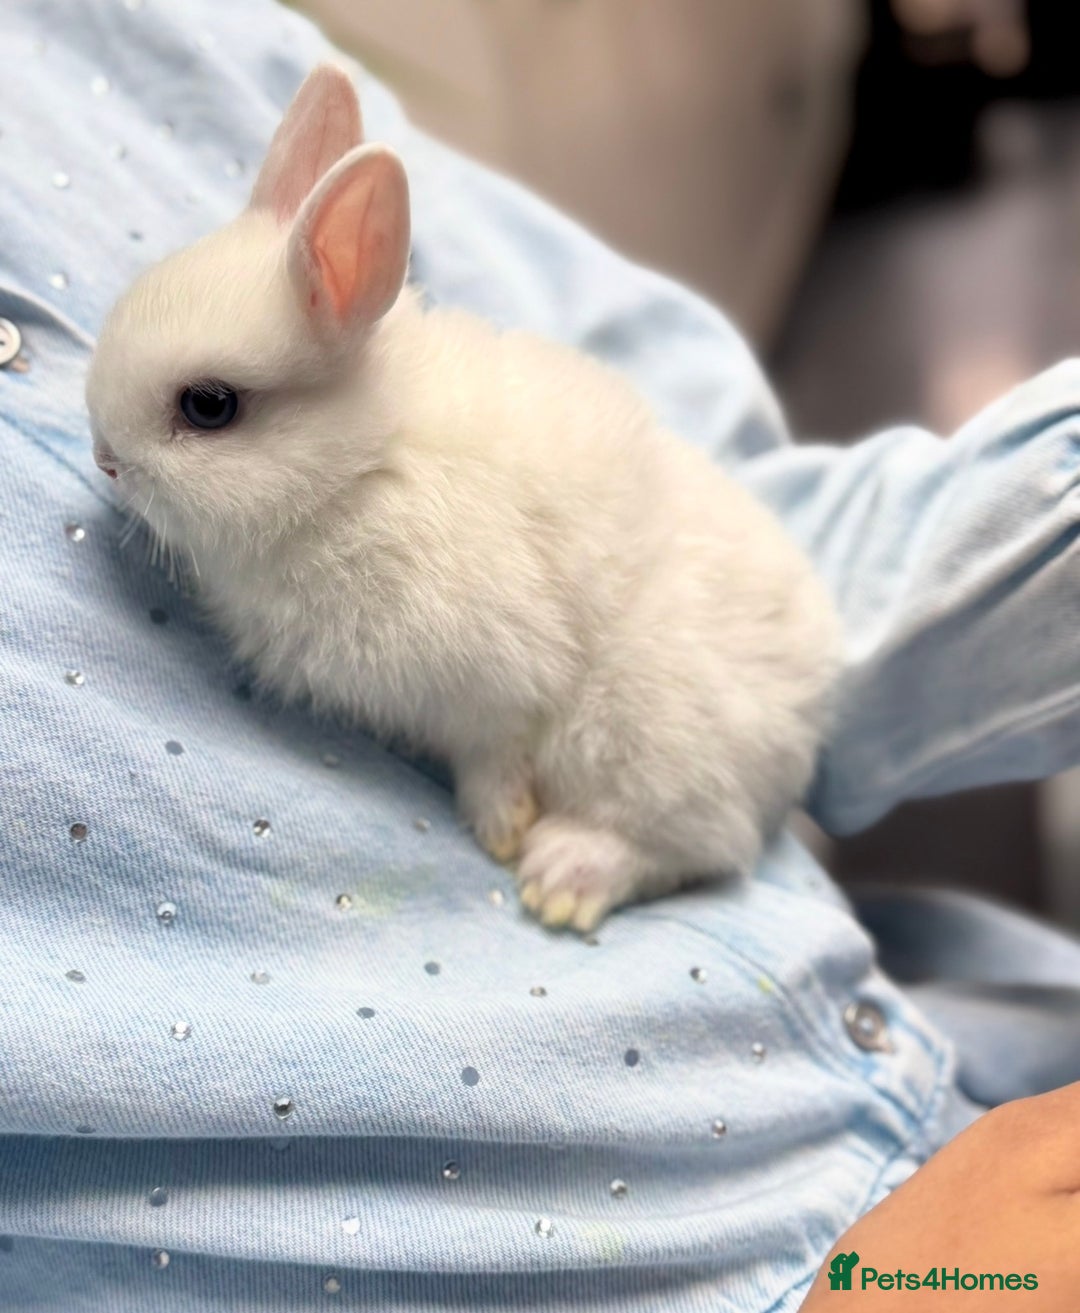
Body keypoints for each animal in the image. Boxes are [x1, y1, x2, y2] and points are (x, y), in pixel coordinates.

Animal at [85, 64, 841, 934]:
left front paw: (500, 825)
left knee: (698, 844)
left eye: (209, 405)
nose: (105, 458)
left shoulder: (501, 679)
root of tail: (810, 713)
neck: (365, 466)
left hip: (645, 735)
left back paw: (561, 878)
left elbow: (496, 749)